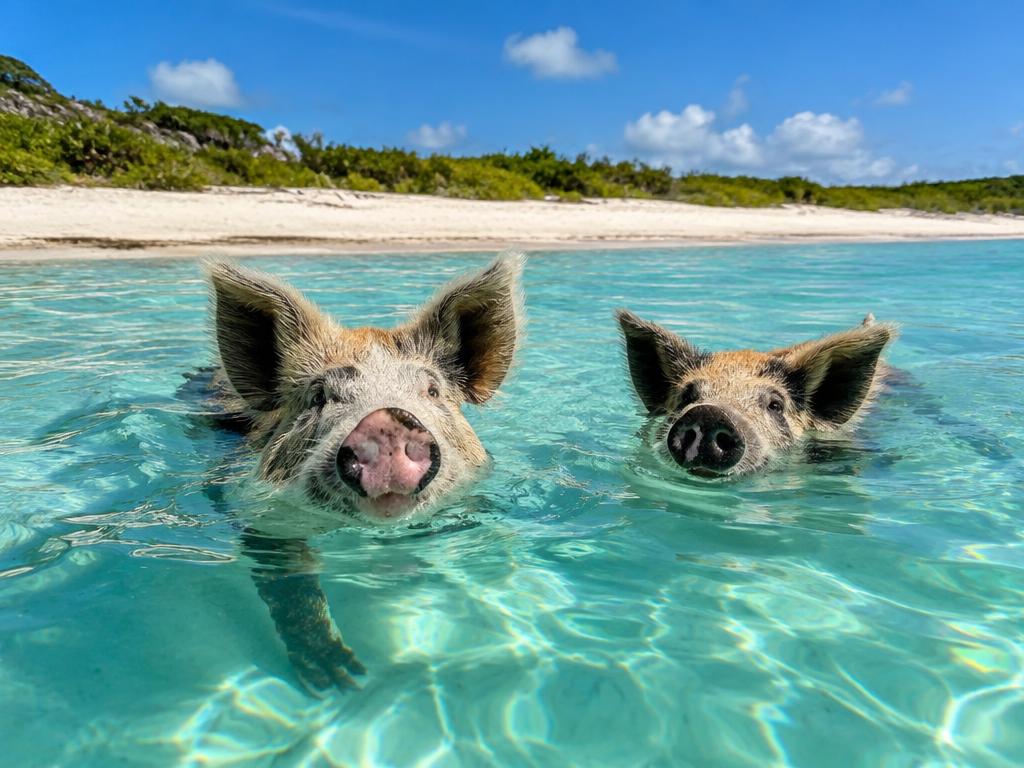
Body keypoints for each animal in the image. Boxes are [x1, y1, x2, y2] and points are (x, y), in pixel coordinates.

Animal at [204, 254, 524, 690]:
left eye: (432, 391)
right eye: (319, 396)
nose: (386, 420)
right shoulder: (266, 518)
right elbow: (289, 582)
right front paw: (339, 678)